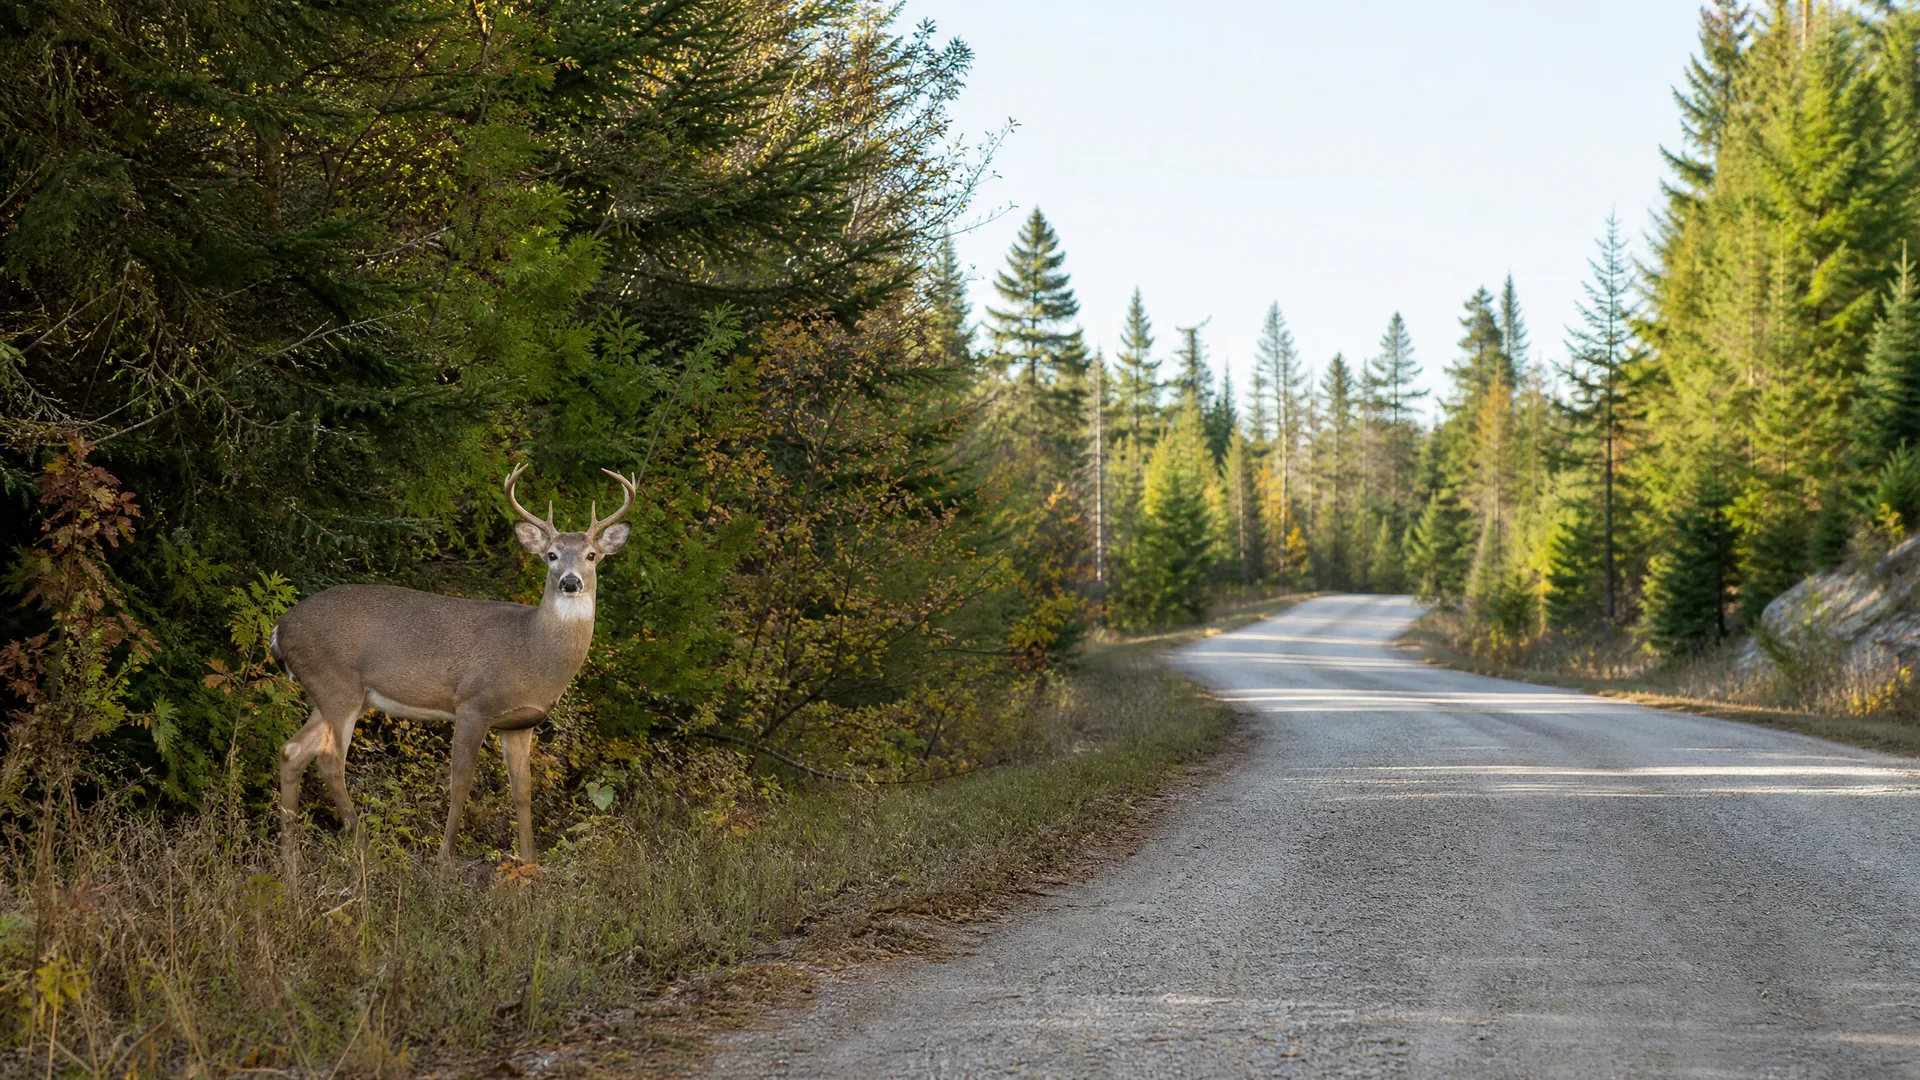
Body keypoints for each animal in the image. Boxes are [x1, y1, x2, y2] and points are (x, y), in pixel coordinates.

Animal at [270, 465, 634, 870]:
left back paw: (289, 860)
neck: (530, 651)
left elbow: (522, 790)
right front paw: (445, 859)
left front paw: (530, 863)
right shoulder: (473, 702)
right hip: (336, 684)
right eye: (552, 555)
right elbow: (460, 782)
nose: (571, 582)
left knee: (292, 751)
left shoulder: (520, 723)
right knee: (329, 761)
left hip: (338, 694)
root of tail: (280, 628)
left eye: (591, 555)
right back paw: (366, 850)